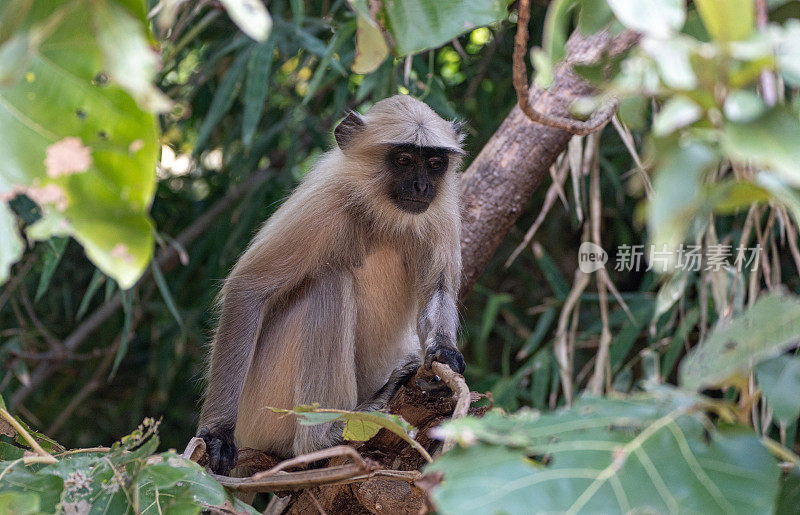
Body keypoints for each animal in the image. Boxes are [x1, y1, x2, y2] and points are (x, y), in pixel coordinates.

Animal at [196, 93, 466, 476]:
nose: (421, 187)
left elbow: (438, 289)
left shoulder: (440, 207)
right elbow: (248, 289)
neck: (382, 214)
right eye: (403, 160)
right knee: (328, 283)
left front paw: (442, 354)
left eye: (434, 164)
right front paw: (217, 431)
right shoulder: (325, 200)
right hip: (263, 409)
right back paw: (325, 437)